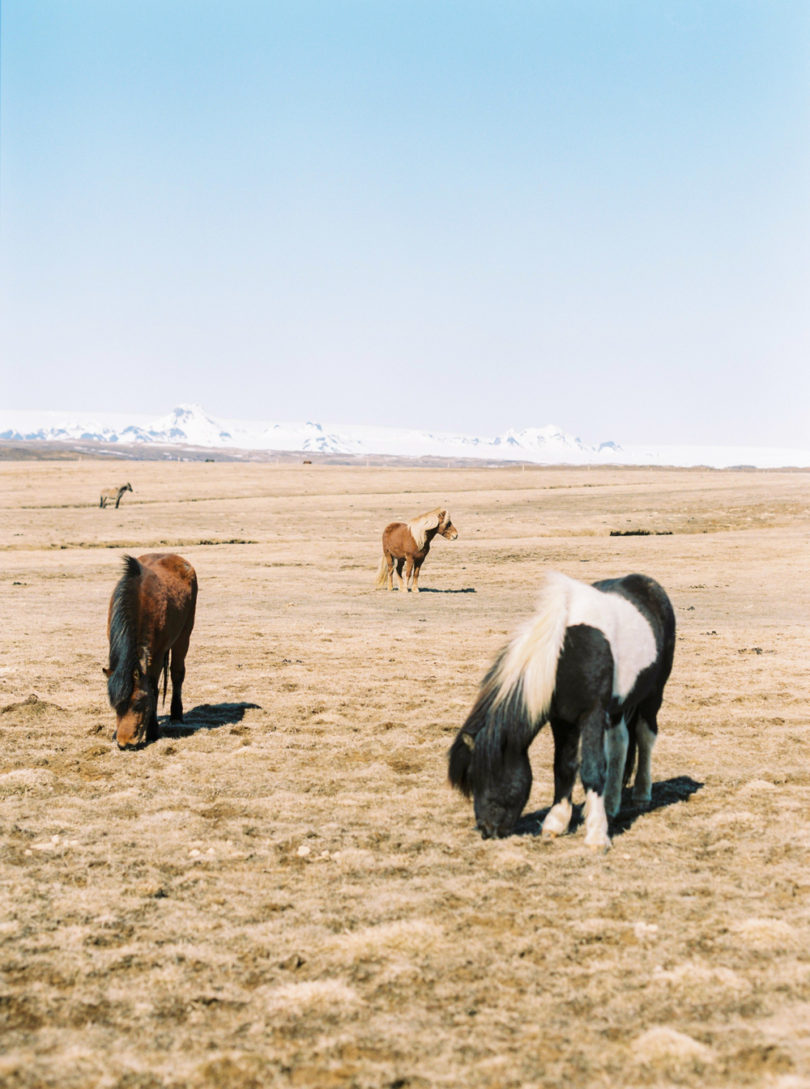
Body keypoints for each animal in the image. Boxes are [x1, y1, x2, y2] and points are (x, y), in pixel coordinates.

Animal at [103, 553, 197, 749]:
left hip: (184, 634)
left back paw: (176, 715)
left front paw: (153, 731)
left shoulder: (157, 654)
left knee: (177, 673)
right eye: (115, 706)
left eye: (139, 703)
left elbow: (153, 688)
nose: (124, 743)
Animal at [448, 570, 675, 849]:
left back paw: (642, 794)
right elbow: (564, 767)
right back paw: (611, 805)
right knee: (620, 743)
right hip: (619, 706)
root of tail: (647, 584)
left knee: (645, 737)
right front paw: (556, 823)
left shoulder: (592, 715)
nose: (486, 830)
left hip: (653, 694)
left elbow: (592, 769)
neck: (564, 656)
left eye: (491, 775)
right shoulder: (561, 720)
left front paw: (596, 836)